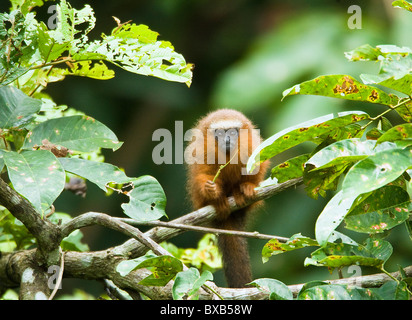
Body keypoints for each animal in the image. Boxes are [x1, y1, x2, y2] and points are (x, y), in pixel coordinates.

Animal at [185, 109, 268, 288]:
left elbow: (258, 166)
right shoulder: (202, 150)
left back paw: (238, 193)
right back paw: (217, 201)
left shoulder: (251, 144)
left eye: (232, 132)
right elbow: (201, 173)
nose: (228, 139)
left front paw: (248, 186)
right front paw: (210, 190)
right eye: (220, 133)